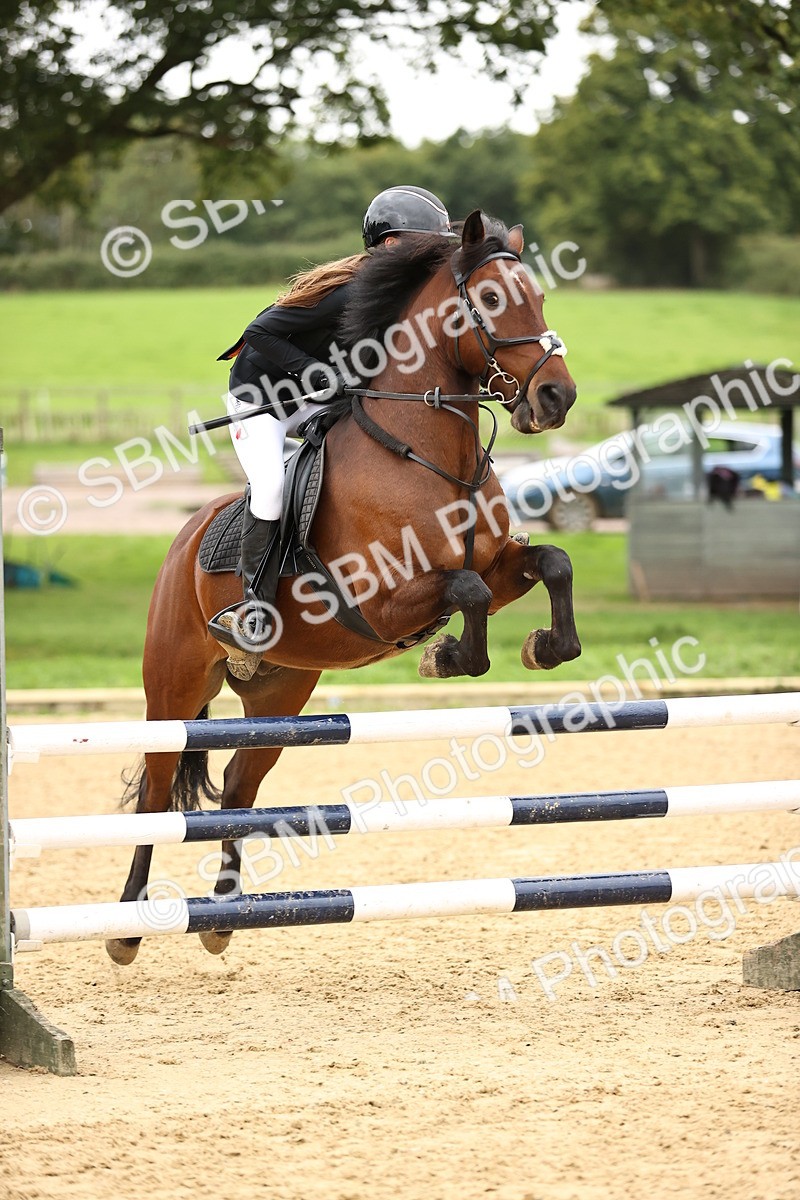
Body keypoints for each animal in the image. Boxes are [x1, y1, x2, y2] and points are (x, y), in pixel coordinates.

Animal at [107, 210, 581, 965]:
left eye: (538, 296)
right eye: (494, 299)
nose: (556, 397)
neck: (429, 453)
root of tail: (183, 539)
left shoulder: (500, 566)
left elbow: (550, 563)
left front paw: (545, 646)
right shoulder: (379, 600)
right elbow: (467, 593)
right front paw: (449, 656)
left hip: (280, 694)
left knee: (238, 786)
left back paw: (221, 919)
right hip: (174, 687)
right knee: (156, 792)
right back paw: (125, 930)